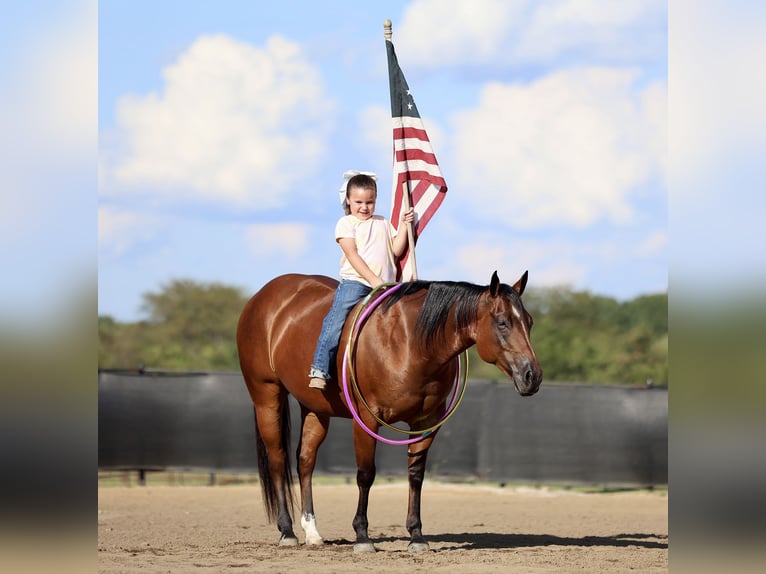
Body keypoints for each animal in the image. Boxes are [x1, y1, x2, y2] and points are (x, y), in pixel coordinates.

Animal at [236, 270, 542, 552]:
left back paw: (312, 532)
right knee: (278, 459)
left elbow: (416, 475)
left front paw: (417, 536)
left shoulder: (426, 422)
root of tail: (263, 296)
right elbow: (365, 474)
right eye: (502, 322)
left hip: (314, 408)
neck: (410, 343)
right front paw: (362, 536)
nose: (533, 376)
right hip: (267, 397)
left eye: (529, 322)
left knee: (305, 461)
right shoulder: (366, 420)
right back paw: (287, 532)